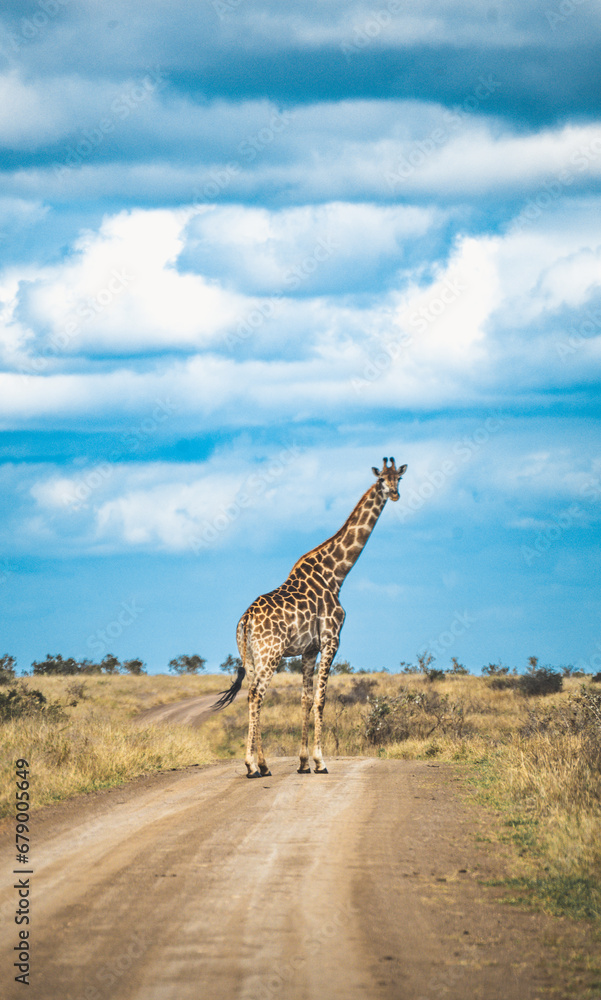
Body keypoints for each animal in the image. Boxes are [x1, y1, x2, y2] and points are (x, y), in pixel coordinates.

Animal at [213, 457, 407, 778]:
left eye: (398, 479)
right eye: (381, 479)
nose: (394, 494)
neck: (336, 574)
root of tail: (245, 620)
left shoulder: (309, 649)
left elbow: (304, 698)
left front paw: (304, 762)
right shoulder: (331, 640)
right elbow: (321, 698)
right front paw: (320, 761)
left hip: (250, 657)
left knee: (253, 695)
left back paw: (262, 765)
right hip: (270, 654)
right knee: (256, 695)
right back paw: (252, 765)